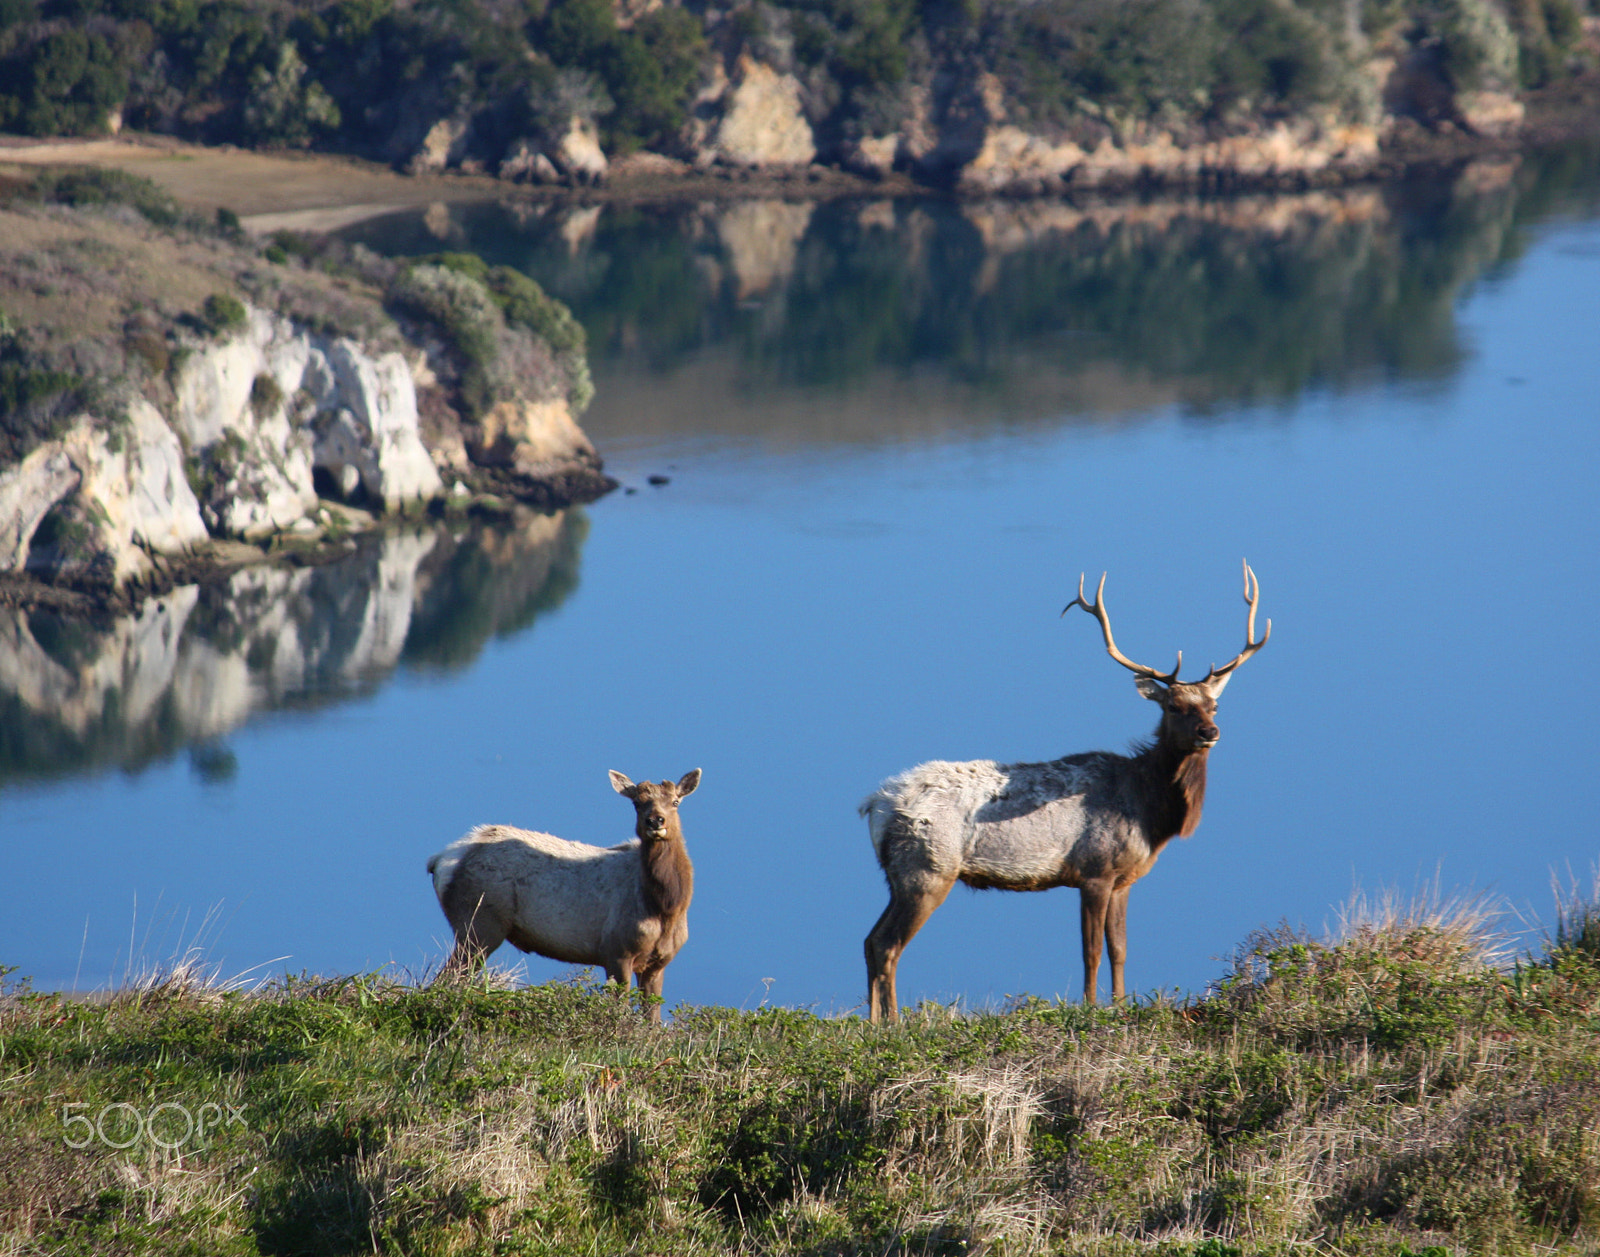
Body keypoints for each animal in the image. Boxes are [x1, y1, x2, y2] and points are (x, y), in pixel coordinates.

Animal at [428, 769, 699, 1023]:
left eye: (675, 801)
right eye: (637, 803)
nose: (655, 821)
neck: (665, 908)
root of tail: (440, 860)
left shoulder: (658, 963)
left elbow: (652, 1020)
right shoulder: (616, 949)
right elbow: (620, 1010)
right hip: (479, 923)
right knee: (444, 981)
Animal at [862, 562, 1269, 1023]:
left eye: (1213, 706)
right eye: (1172, 706)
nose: (1209, 732)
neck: (1149, 813)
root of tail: (875, 806)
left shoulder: (1124, 878)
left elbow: (1119, 949)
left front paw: (1120, 1005)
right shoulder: (1094, 869)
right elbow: (1090, 951)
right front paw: (1092, 1008)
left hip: (899, 875)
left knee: (870, 940)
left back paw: (873, 1023)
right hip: (928, 868)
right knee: (887, 945)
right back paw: (892, 1023)